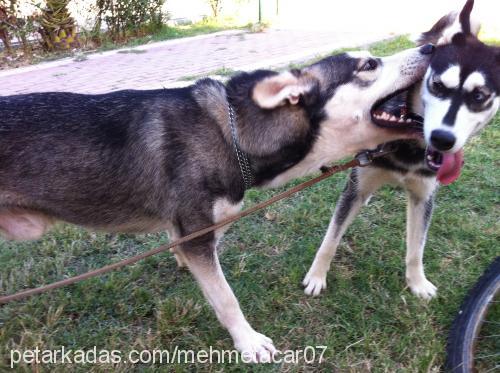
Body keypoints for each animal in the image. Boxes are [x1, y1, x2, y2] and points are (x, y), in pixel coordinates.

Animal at [0, 44, 432, 360]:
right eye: (369, 64)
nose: (430, 47)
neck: (233, 134)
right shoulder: (198, 238)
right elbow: (226, 298)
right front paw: (248, 342)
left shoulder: (201, 227)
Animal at [302, 0, 498, 298]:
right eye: (437, 85)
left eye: (479, 96)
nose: (442, 138)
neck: (407, 147)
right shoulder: (357, 182)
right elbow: (330, 238)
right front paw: (316, 275)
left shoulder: (423, 197)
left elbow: (416, 249)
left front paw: (417, 282)